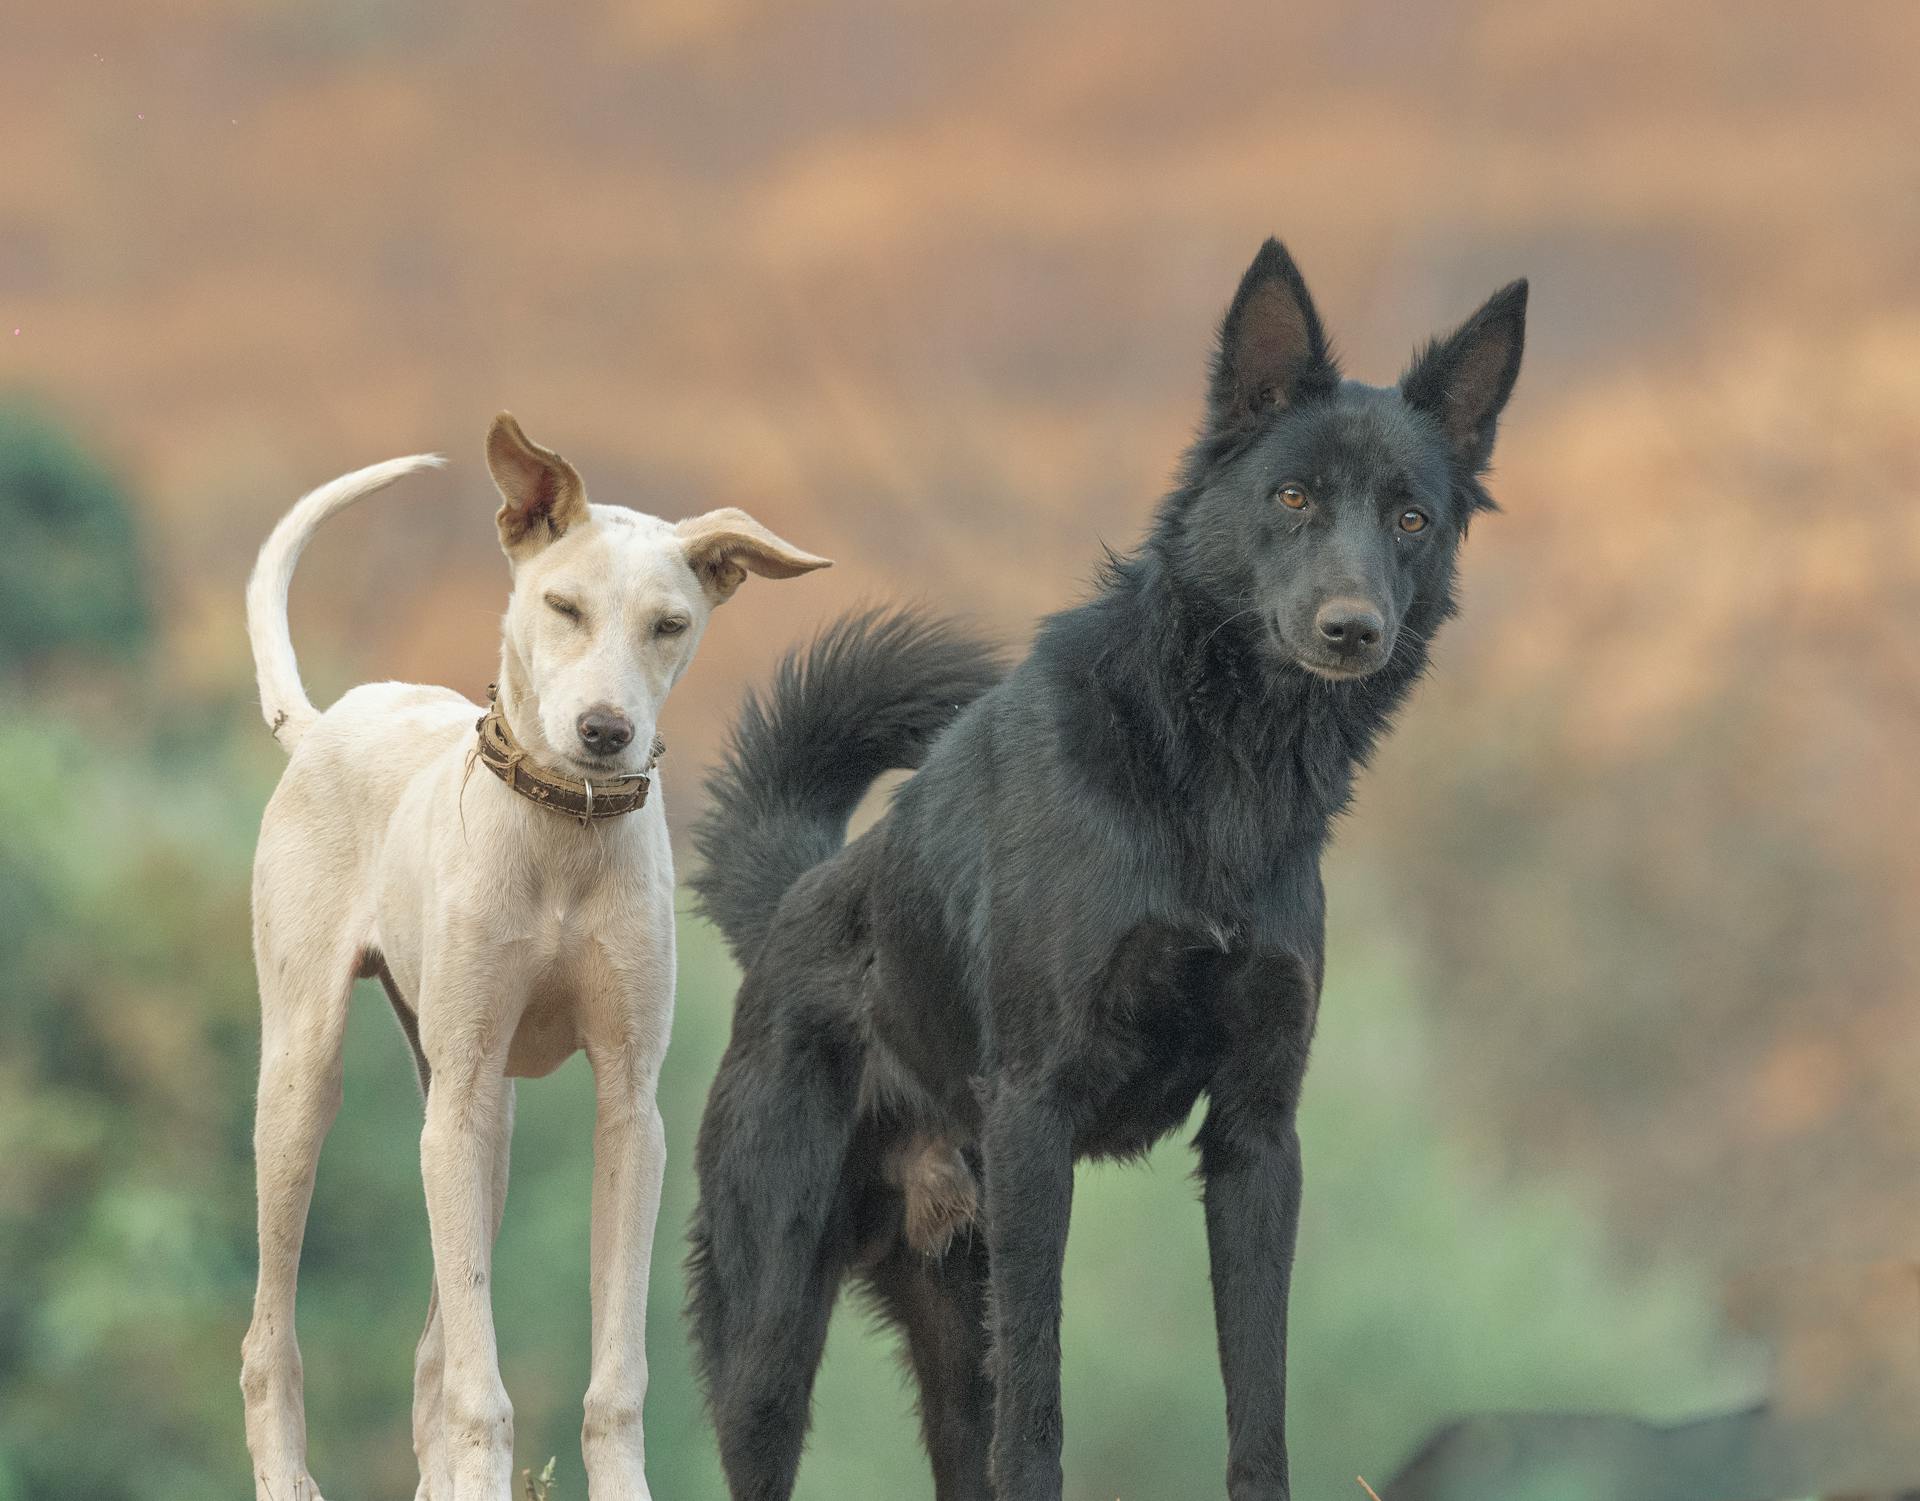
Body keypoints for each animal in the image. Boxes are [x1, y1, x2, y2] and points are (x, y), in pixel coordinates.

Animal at [238, 416, 825, 1501]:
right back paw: (290, 1477)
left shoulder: (630, 1111)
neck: (565, 832)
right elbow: (480, 1370)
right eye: (564, 606)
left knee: (431, 1351)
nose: (606, 731)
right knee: (274, 1333)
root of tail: (330, 722)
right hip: (311, 1083)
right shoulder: (463, 1093)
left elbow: (615, 1367)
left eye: (670, 625)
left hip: (485, 1121)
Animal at [691, 240, 1528, 1497]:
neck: (1217, 772)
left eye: (1413, 517)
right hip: (773, 1334)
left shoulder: (1257, 1138)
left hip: (953, 1322)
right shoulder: (1038, 1121)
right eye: (1292, 498)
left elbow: (1259, 1400)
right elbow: (1042, 1409)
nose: (1353, 628)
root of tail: (794, 901)